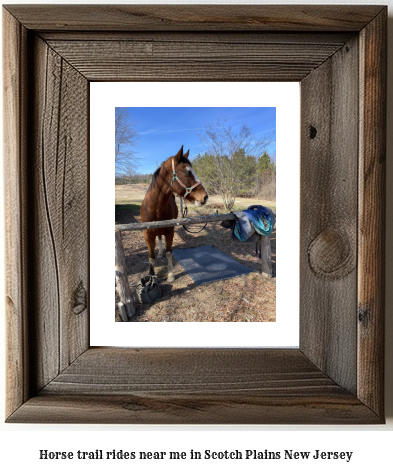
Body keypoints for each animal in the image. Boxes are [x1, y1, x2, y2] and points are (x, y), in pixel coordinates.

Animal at [140, 145, 208, 282]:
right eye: (187, 172)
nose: (205, 197)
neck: (154, 209)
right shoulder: (147, 235)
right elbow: (151, 256)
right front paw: (151, 275)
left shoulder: (170, 231)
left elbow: (169, 253)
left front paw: (170, 274)